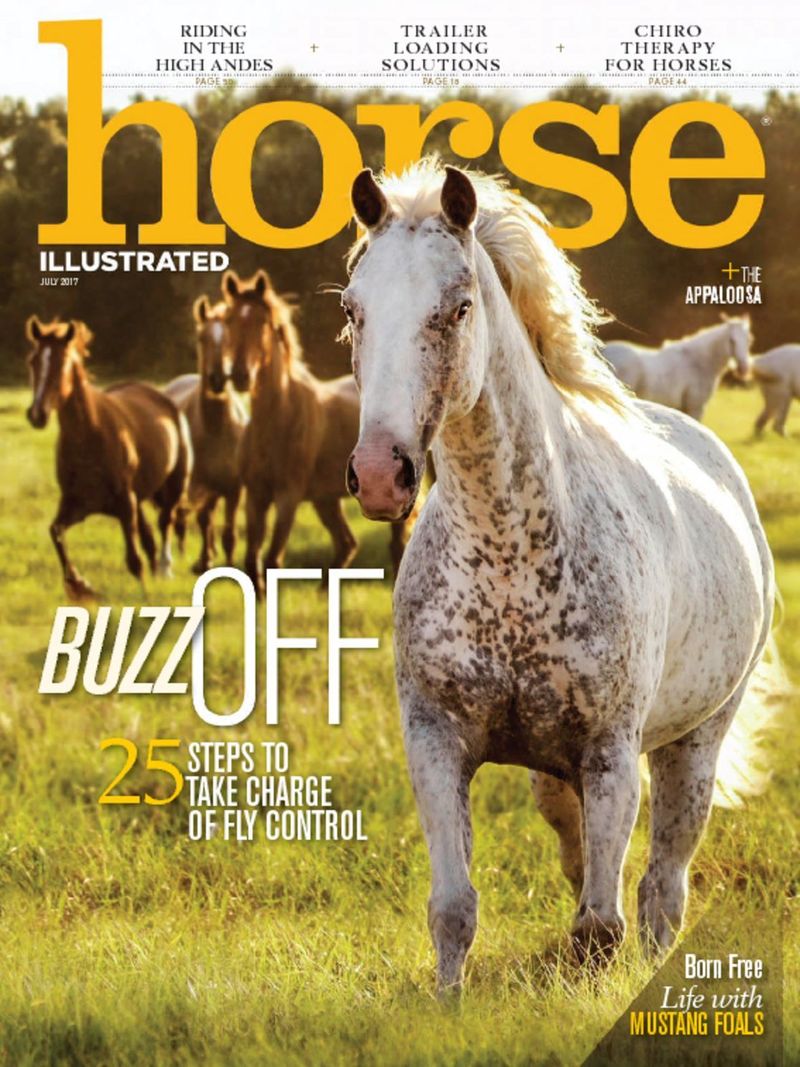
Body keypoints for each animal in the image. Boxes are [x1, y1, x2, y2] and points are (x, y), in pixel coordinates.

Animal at [25, 317, 191, 599]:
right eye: (33, 360)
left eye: (61, 361)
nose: (38, 414)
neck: (89, 439)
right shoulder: (77, 504)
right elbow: (55, 531)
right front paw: (80, 585)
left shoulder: (124, 503)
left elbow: (134, 561)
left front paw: (145, 596)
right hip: (138, 497)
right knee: (150, 536)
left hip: (173, 486)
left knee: (165, 521)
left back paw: (165, 569)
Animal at [164, 297, 248, 572]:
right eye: (202, 338)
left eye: (232, 337)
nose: (217, 379)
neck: (216, 428)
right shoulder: (200, 485)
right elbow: (203, 521)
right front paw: (205, 559)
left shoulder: (233, 488)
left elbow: (229, 532)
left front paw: (229, 562)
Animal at [223, 270, 408, 596]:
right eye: (230, 319)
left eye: (262, 323)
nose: (241, 376)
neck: (275, 420)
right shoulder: (256, 495)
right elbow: (252, 562)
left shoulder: (288, 496)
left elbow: (272, 559)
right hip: (326, 500)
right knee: (347, 543)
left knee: (398, 543)